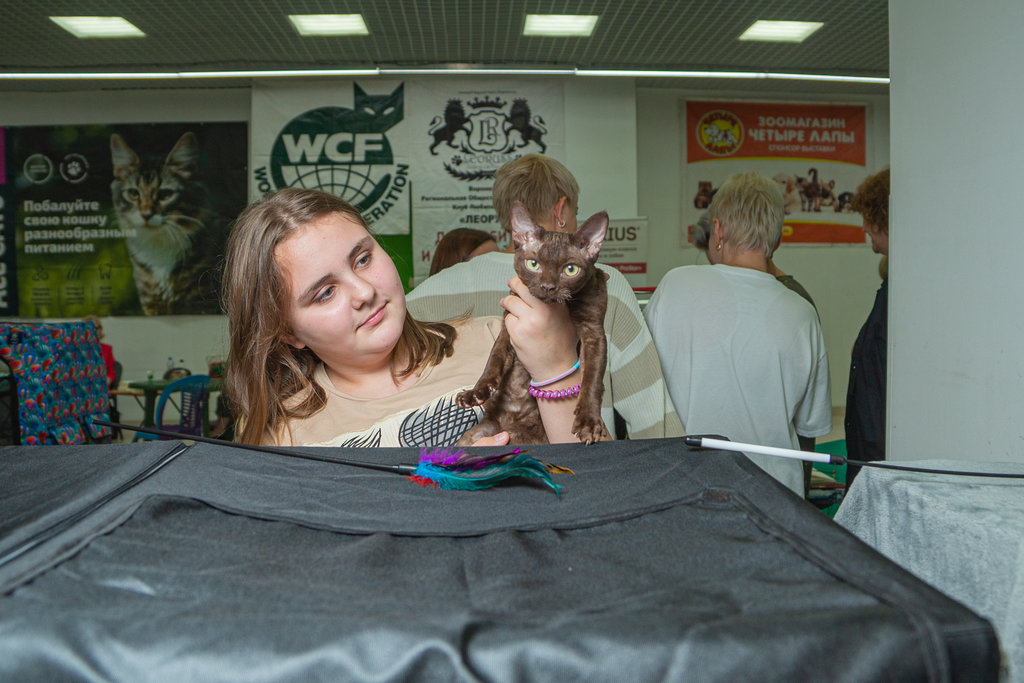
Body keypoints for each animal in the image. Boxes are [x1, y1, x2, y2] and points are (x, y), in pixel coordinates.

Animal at [111, 132, 226, 315]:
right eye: (134, 194)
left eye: (165, 194)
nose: (146, 214)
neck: (159, 248)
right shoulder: (152, 304)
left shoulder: (205, 302)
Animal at [456, 201, 611, 445]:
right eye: (533, 264)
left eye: (570, 269)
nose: (548, 287)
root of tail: (503, 425)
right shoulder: (508, 324)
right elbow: (494, 359)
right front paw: (476, 392)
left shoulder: (594, 331)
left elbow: (592, 378)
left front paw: (589, 421)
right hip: (473, 436)